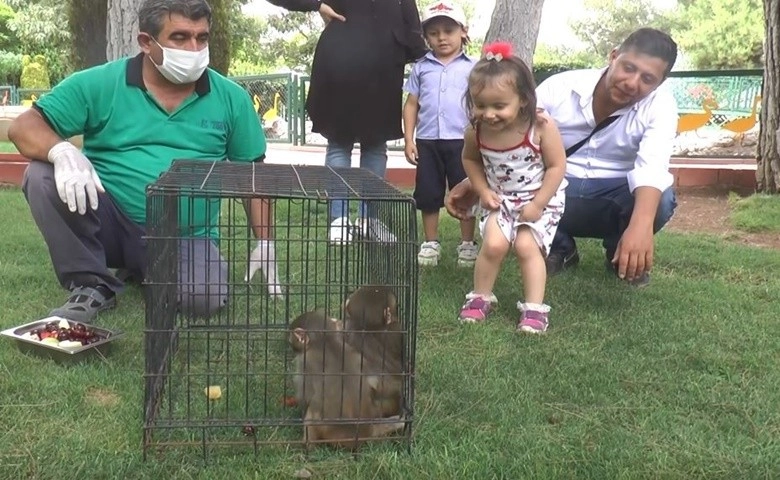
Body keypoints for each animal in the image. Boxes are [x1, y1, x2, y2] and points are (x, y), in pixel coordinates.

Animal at [286, 310, 402, 448]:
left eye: (291, 339)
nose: (291, 344)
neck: (326, 341)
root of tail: (366, 432)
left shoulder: (305, 362)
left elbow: (305, 395)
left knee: (312, 413)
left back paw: (307, 445)